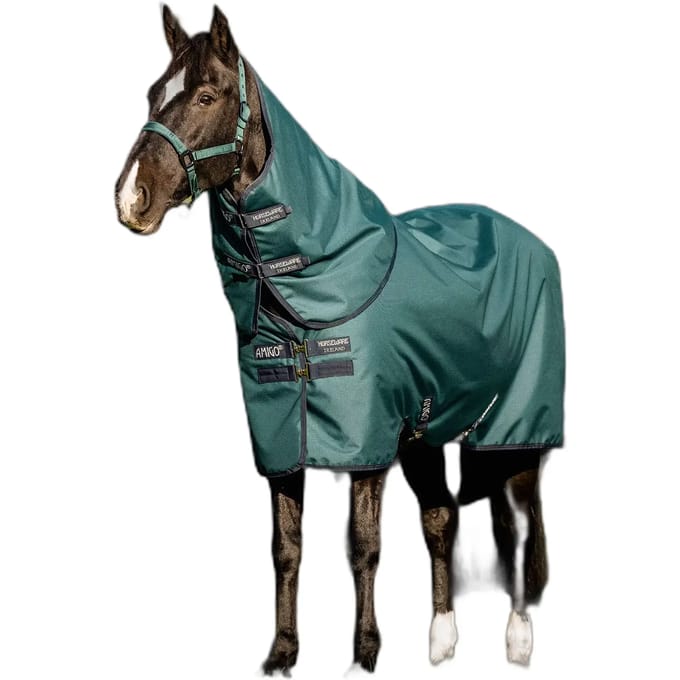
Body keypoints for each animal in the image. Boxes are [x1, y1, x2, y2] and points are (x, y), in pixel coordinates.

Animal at [115, 6, 564, 673]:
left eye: (205, 95)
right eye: (151, 93)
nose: (130, 199)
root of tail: (532, 242)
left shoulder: (366, 443)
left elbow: (364, 546)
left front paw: (365, 653)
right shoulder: (282, 440)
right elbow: (286, 547)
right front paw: (282, 653)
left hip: (516, 424)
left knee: (522, 518)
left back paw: (518, 637)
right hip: (427, 430)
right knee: (442, 517)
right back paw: (442, 638)